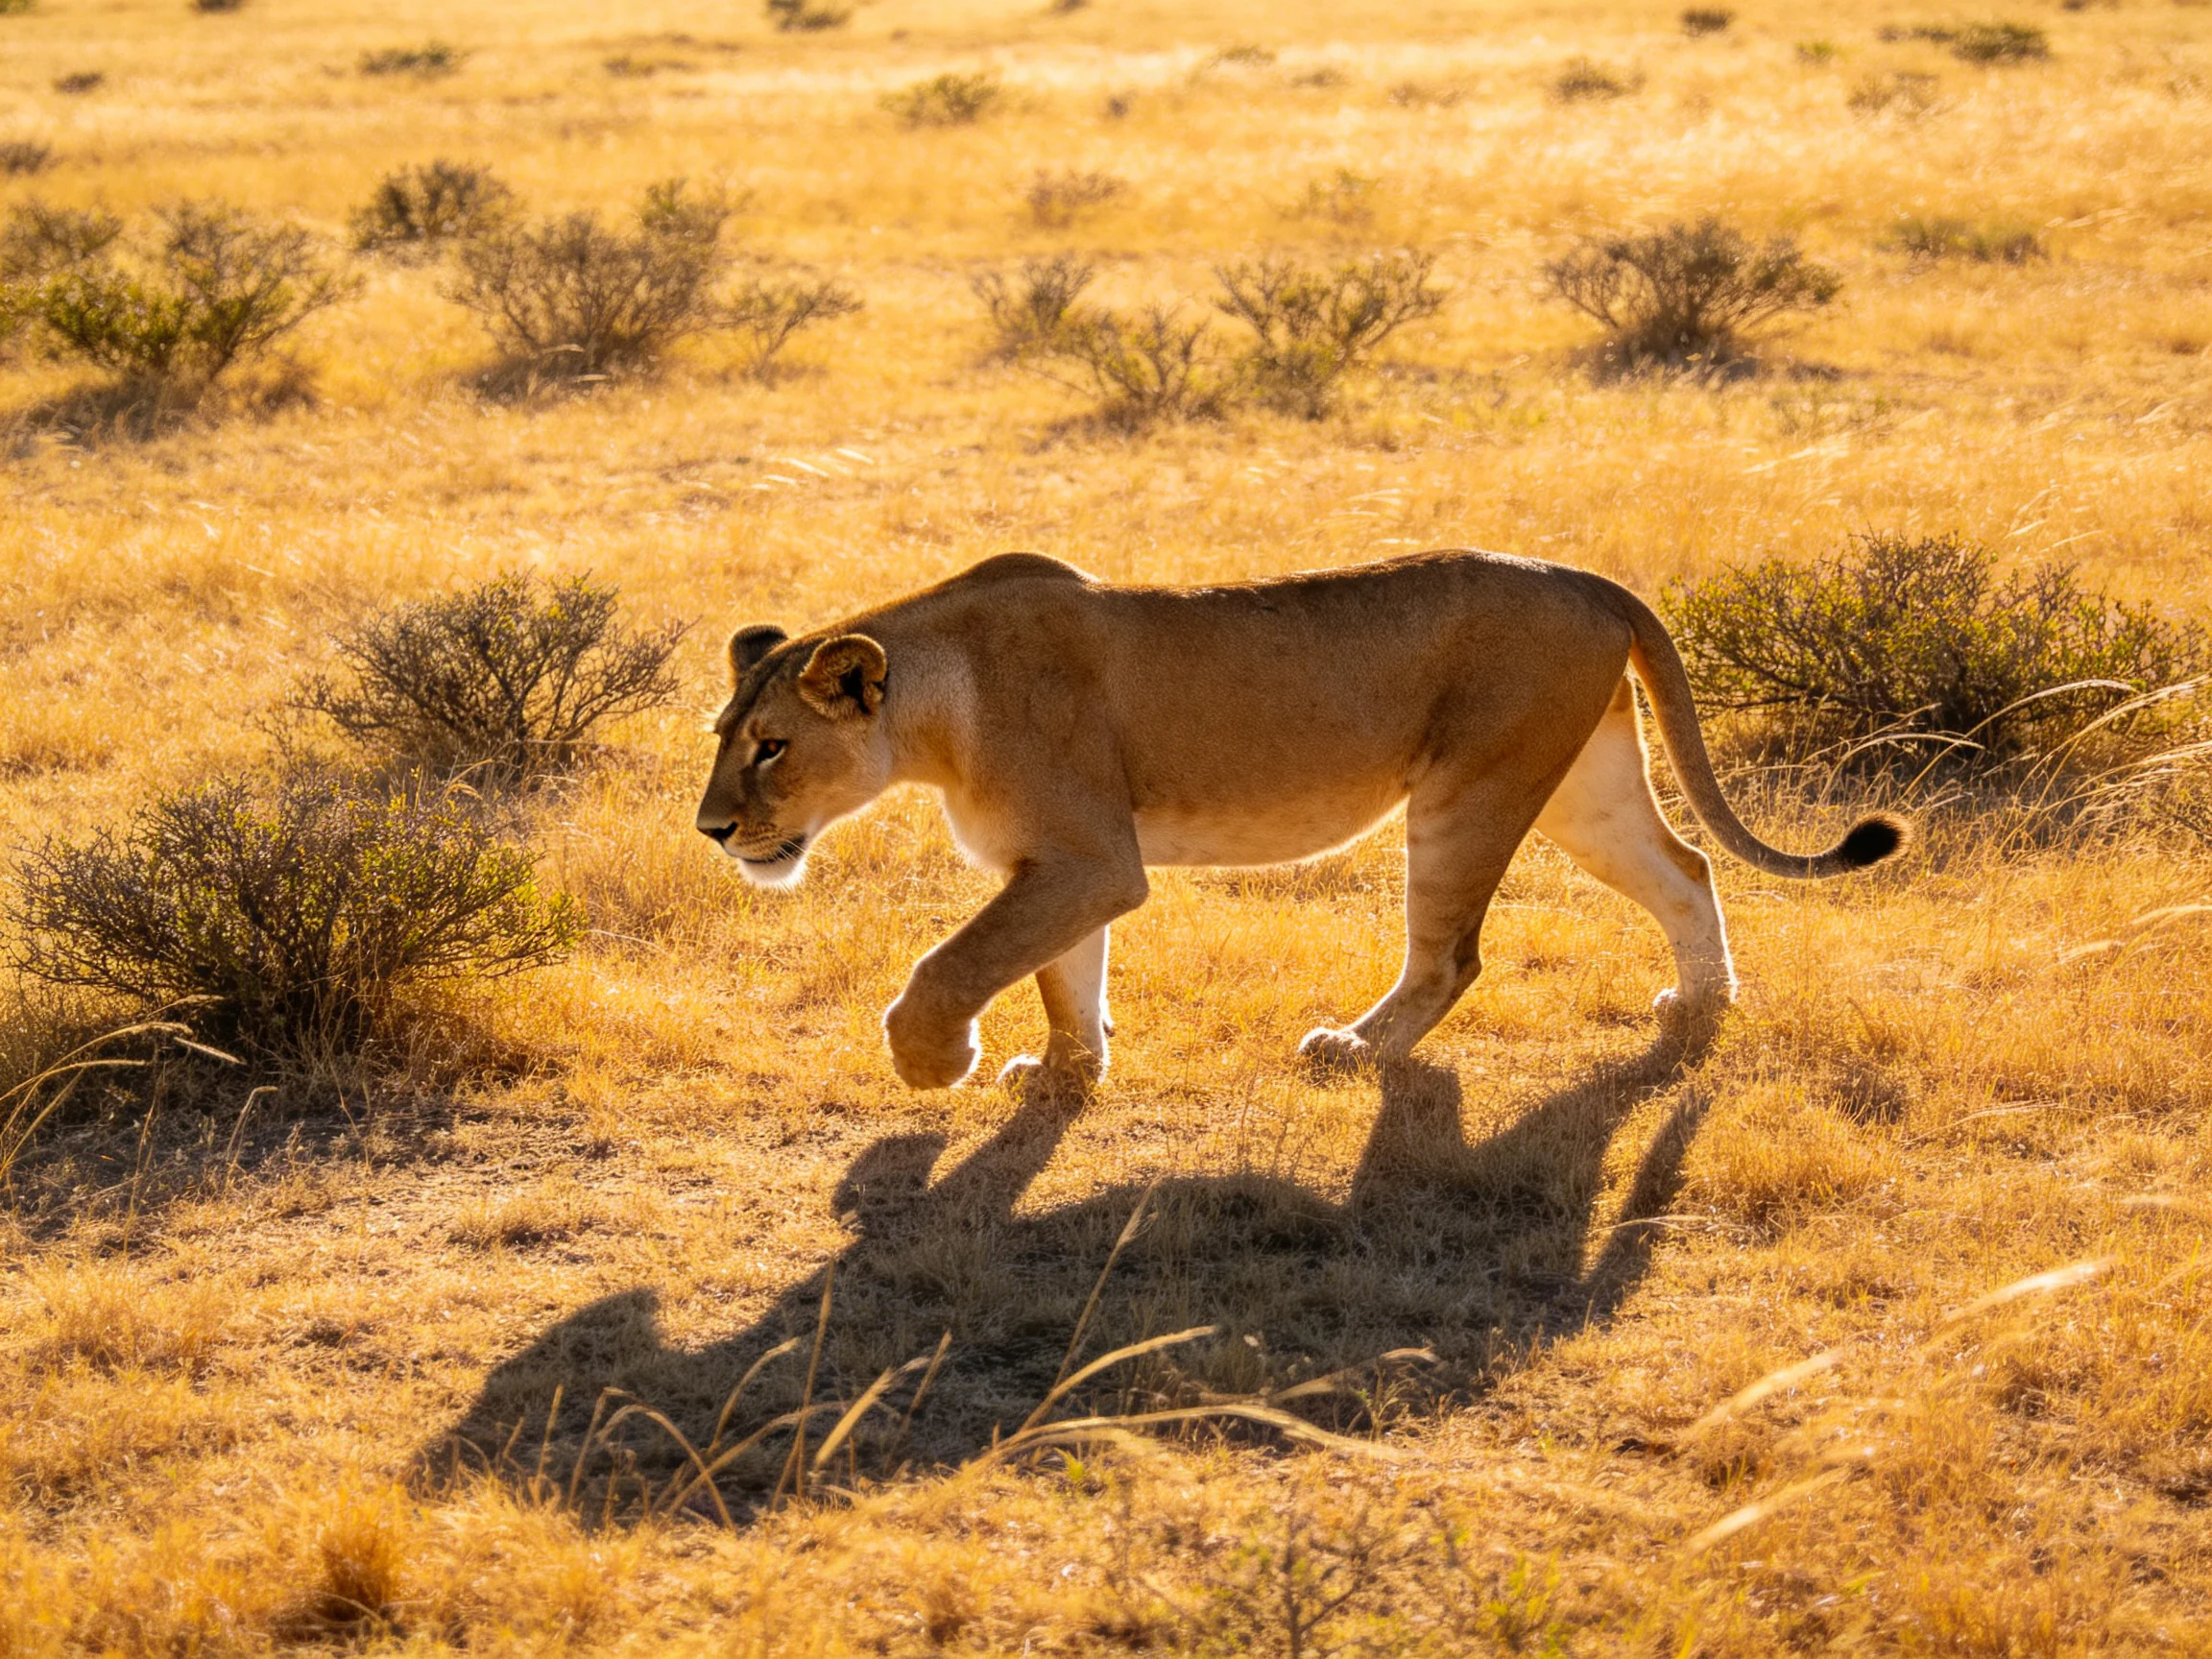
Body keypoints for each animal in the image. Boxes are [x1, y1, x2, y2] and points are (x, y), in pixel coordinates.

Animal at [696, 550, 1905, 1090]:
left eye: (772, 747)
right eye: (723, 733)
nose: (711, 830)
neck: (938, 708)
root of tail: (1593, 579)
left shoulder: (1090, 859)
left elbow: (959, 961)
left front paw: (931, 1058)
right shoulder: (1064, 865)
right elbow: (1063, 976)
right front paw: (1065, 1074)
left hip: (1470, 791)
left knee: (1452, 955)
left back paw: (1356, 1049)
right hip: (1582, 787)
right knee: (1688, 867)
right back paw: (1701, 1003)